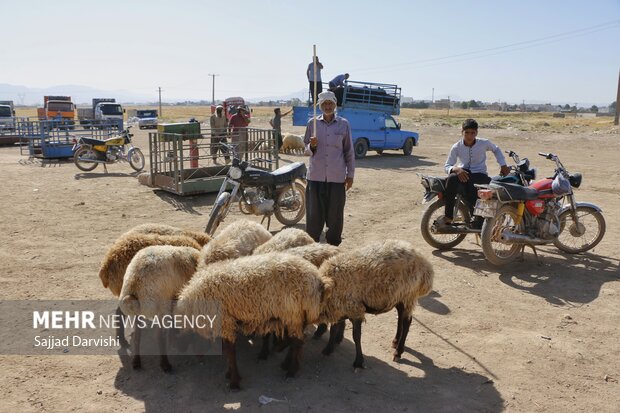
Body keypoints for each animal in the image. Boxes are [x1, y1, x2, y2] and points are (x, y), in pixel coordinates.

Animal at [173, 251, 334, 390]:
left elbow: (230, 352)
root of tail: (318, 280)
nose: (196, 356)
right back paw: (285, 363)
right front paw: (230, 375)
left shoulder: (226, 322)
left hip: (293, 313)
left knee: (297, 342)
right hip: (297, 315)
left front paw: (234, 381)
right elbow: (228, 351)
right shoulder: (226, 323)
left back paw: (291, 371)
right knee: (296, 340)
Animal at [318, 240, 434, 368]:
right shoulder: (339, 308)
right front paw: (328, 349)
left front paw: (358, 362)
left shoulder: (355, 309)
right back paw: (395, 341)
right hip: (398, 295)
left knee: (407, 321)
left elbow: (356, 336)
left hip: (408, 294)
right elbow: (334, 329)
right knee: (400, 315)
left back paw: (398, 352)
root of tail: (426, 266)